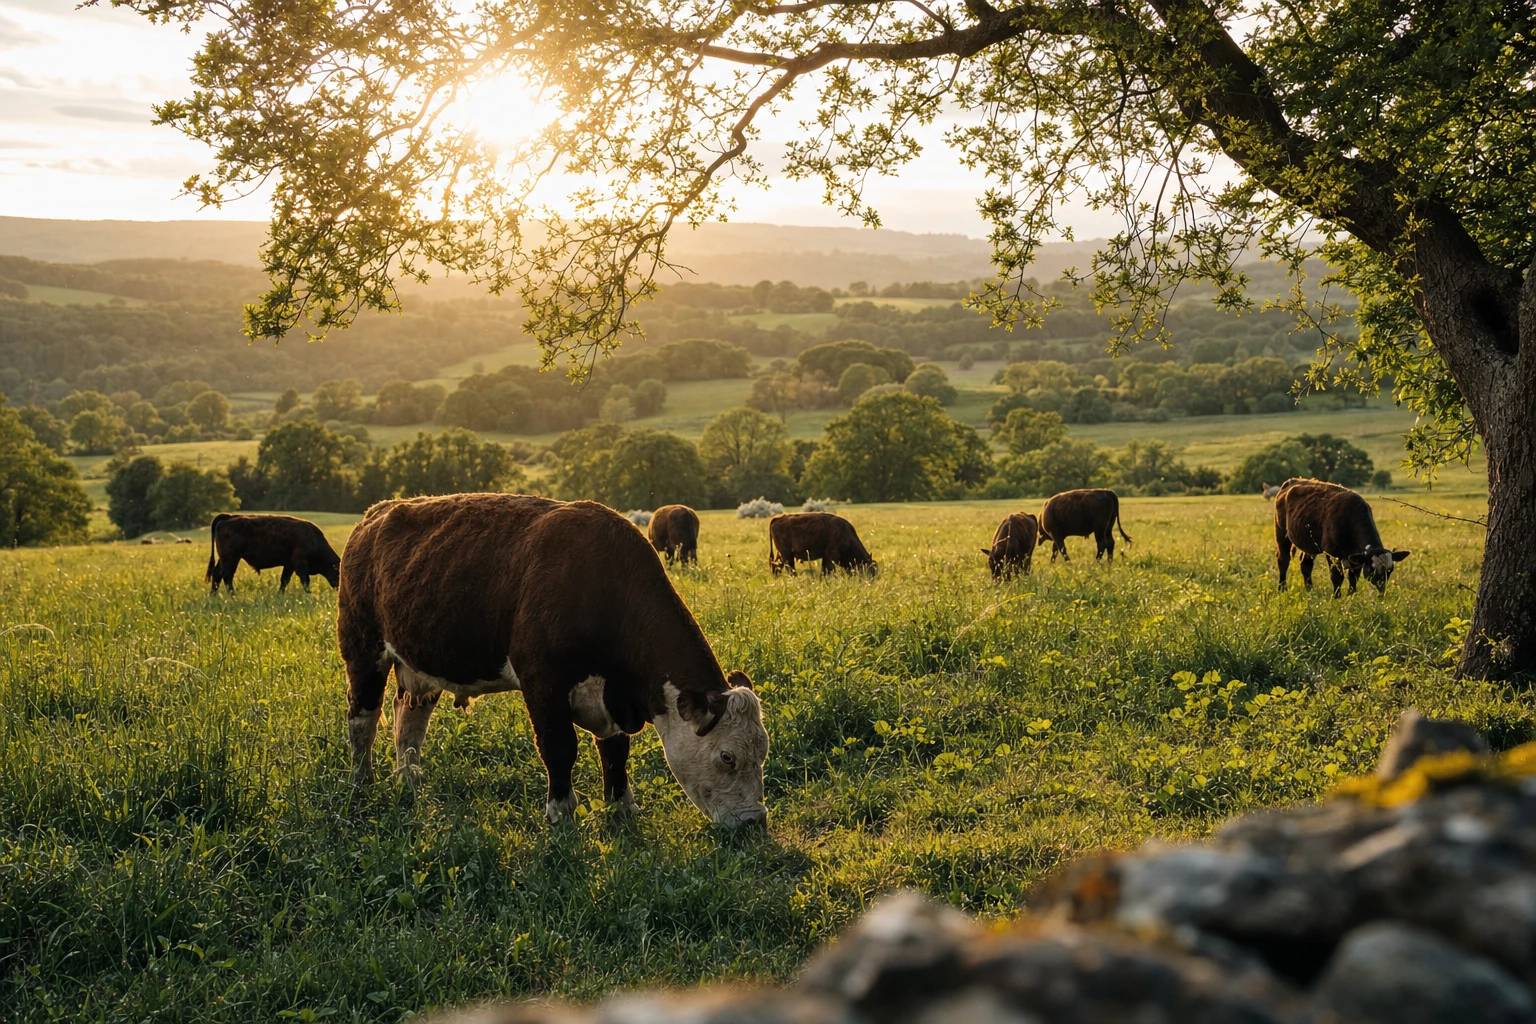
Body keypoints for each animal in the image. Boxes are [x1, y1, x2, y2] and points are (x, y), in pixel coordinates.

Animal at [206, 513, 341, 594]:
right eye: (339, 572)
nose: (339, 589)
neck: (313, 538)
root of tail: (227, 517)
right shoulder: (299, 561)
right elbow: (305, 579)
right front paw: (309, 594)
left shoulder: (289, 564)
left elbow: (284, 580)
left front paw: (279, 594)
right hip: (232, 557)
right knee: (227, 575)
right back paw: (232, 595)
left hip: (225, 559)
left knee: (217, 573)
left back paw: (213, 595)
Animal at [338, 493, 769, 829]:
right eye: (727, 757)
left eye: (764, 751)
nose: (754, 822)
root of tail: (375, 515)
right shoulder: (543, 682)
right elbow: (559, 746)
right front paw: (561, 812)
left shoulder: (610, 695)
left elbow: (615, 751)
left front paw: (622, 807)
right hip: (362, 649)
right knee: (363, 720)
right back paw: (361, 782)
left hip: (418, 666)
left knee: (409, 722)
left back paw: (408, 779)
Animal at [1273, 479, 1409, 596]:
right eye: (1372, 569)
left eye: (1390, 570)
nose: (1382, 589)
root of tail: (1291, 481)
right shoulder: (1332, 552)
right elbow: (1337, 577)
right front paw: (1336, 598)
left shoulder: (1356, 557)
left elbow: (1353, 578)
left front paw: (1351, 596)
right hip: (1281, 532)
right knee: (1283, 559)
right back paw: (1282, 588)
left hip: (1309, 543)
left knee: (1306, 564)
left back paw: (1309, 590)